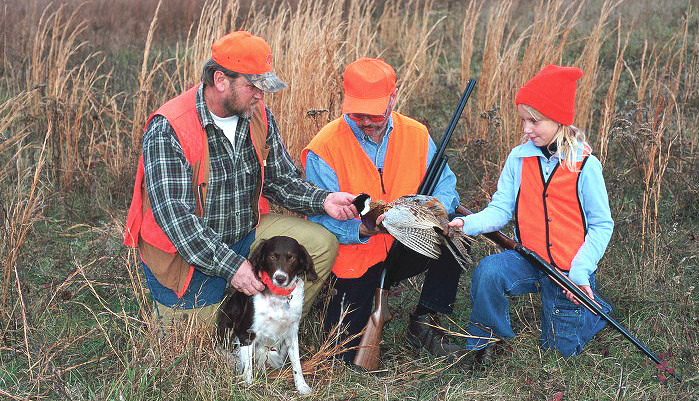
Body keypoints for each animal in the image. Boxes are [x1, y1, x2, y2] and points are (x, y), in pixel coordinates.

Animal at [217, 234, 318, 394]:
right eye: (272, 257)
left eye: (291, 258)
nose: (280, 278)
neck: (279, 297)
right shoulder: (245, 333)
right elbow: (247, 367)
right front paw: (247, 385)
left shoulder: (292, 333)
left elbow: (297, 363)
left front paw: (302, 386)